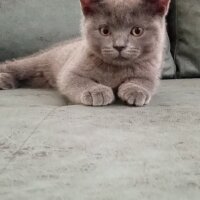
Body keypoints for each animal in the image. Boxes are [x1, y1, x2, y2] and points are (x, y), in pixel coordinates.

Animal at [0, 0, 170, 106]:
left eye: (137, 31)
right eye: (104, 30)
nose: (119, 46)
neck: (115, 70)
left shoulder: (151, 72)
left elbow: (143, 82)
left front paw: (135, 91)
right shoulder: (70, 71)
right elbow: (78, 80)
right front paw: (97, 91)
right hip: (37, 62)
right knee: (13, 65)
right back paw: (4, 79)